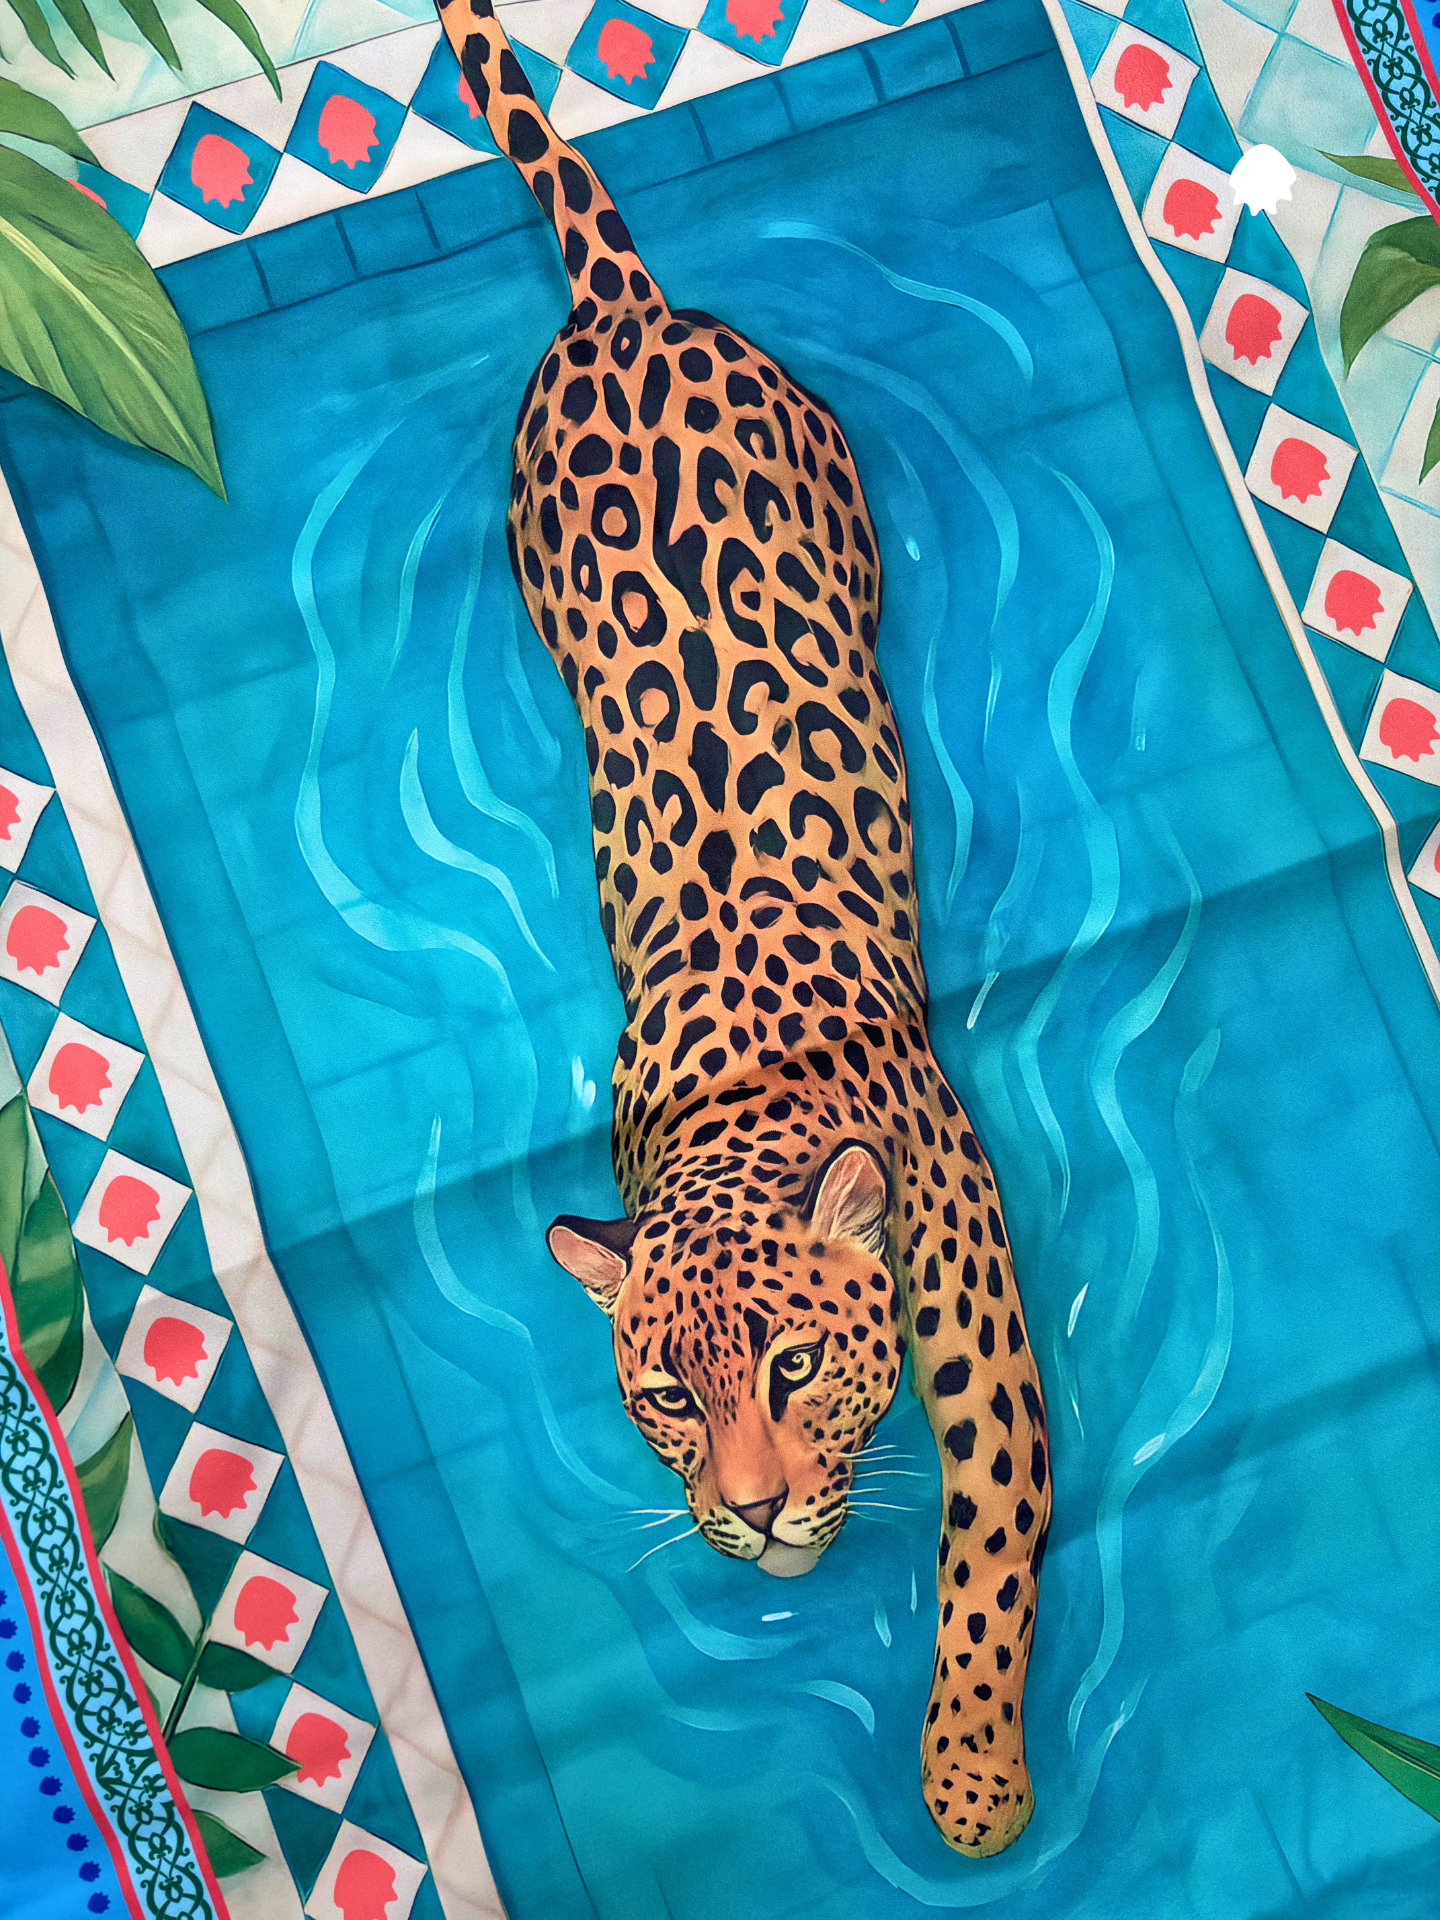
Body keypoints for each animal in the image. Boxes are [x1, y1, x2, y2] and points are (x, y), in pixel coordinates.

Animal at [435, 0, 1051, 1854]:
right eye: (664, 1401)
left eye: (790, 1368)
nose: (761, 1515)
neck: (741, 1120)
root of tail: (620, 308)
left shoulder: (982, 1327)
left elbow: (997, 1546)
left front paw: (971, 1778)